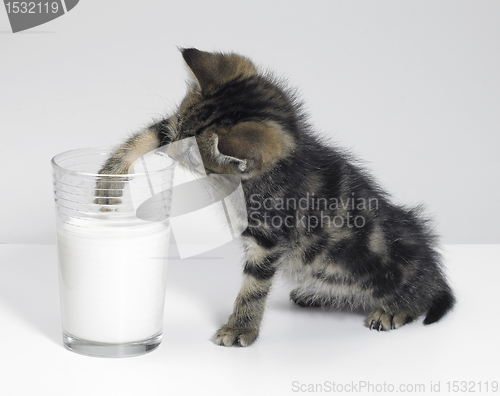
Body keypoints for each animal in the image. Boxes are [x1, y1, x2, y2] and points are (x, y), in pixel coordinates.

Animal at [95, 48, 456, 346]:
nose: (172, 154)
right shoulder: (173, 125)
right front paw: (109, 178)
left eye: (193, 158)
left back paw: (395, 309)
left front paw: (240, 327)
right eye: (181, 138)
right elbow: (151, 133)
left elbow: (254, 285)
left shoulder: (269, 236)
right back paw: (317, 295)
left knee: (423, 292)